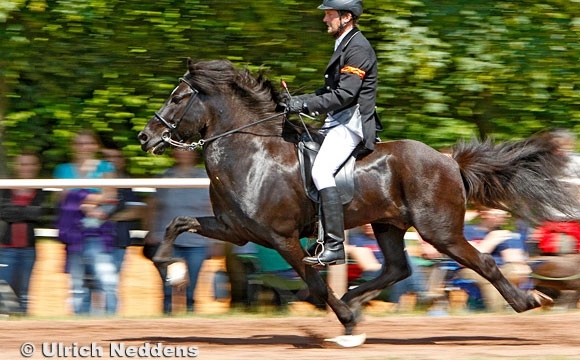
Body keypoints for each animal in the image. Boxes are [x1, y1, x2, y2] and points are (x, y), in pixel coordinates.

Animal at [138, 58, 576, 340]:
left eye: (178, 97)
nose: (145, 137)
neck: (252, 152)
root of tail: (449, 160)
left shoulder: (282, 238)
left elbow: (315, 282)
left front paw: (346, 318)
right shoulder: (237, 230)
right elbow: (178, 223)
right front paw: (164, 263)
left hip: (438, 230)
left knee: (481, 262)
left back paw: (526, 301)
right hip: (388, 225)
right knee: (398, 268)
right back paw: (356, 296)